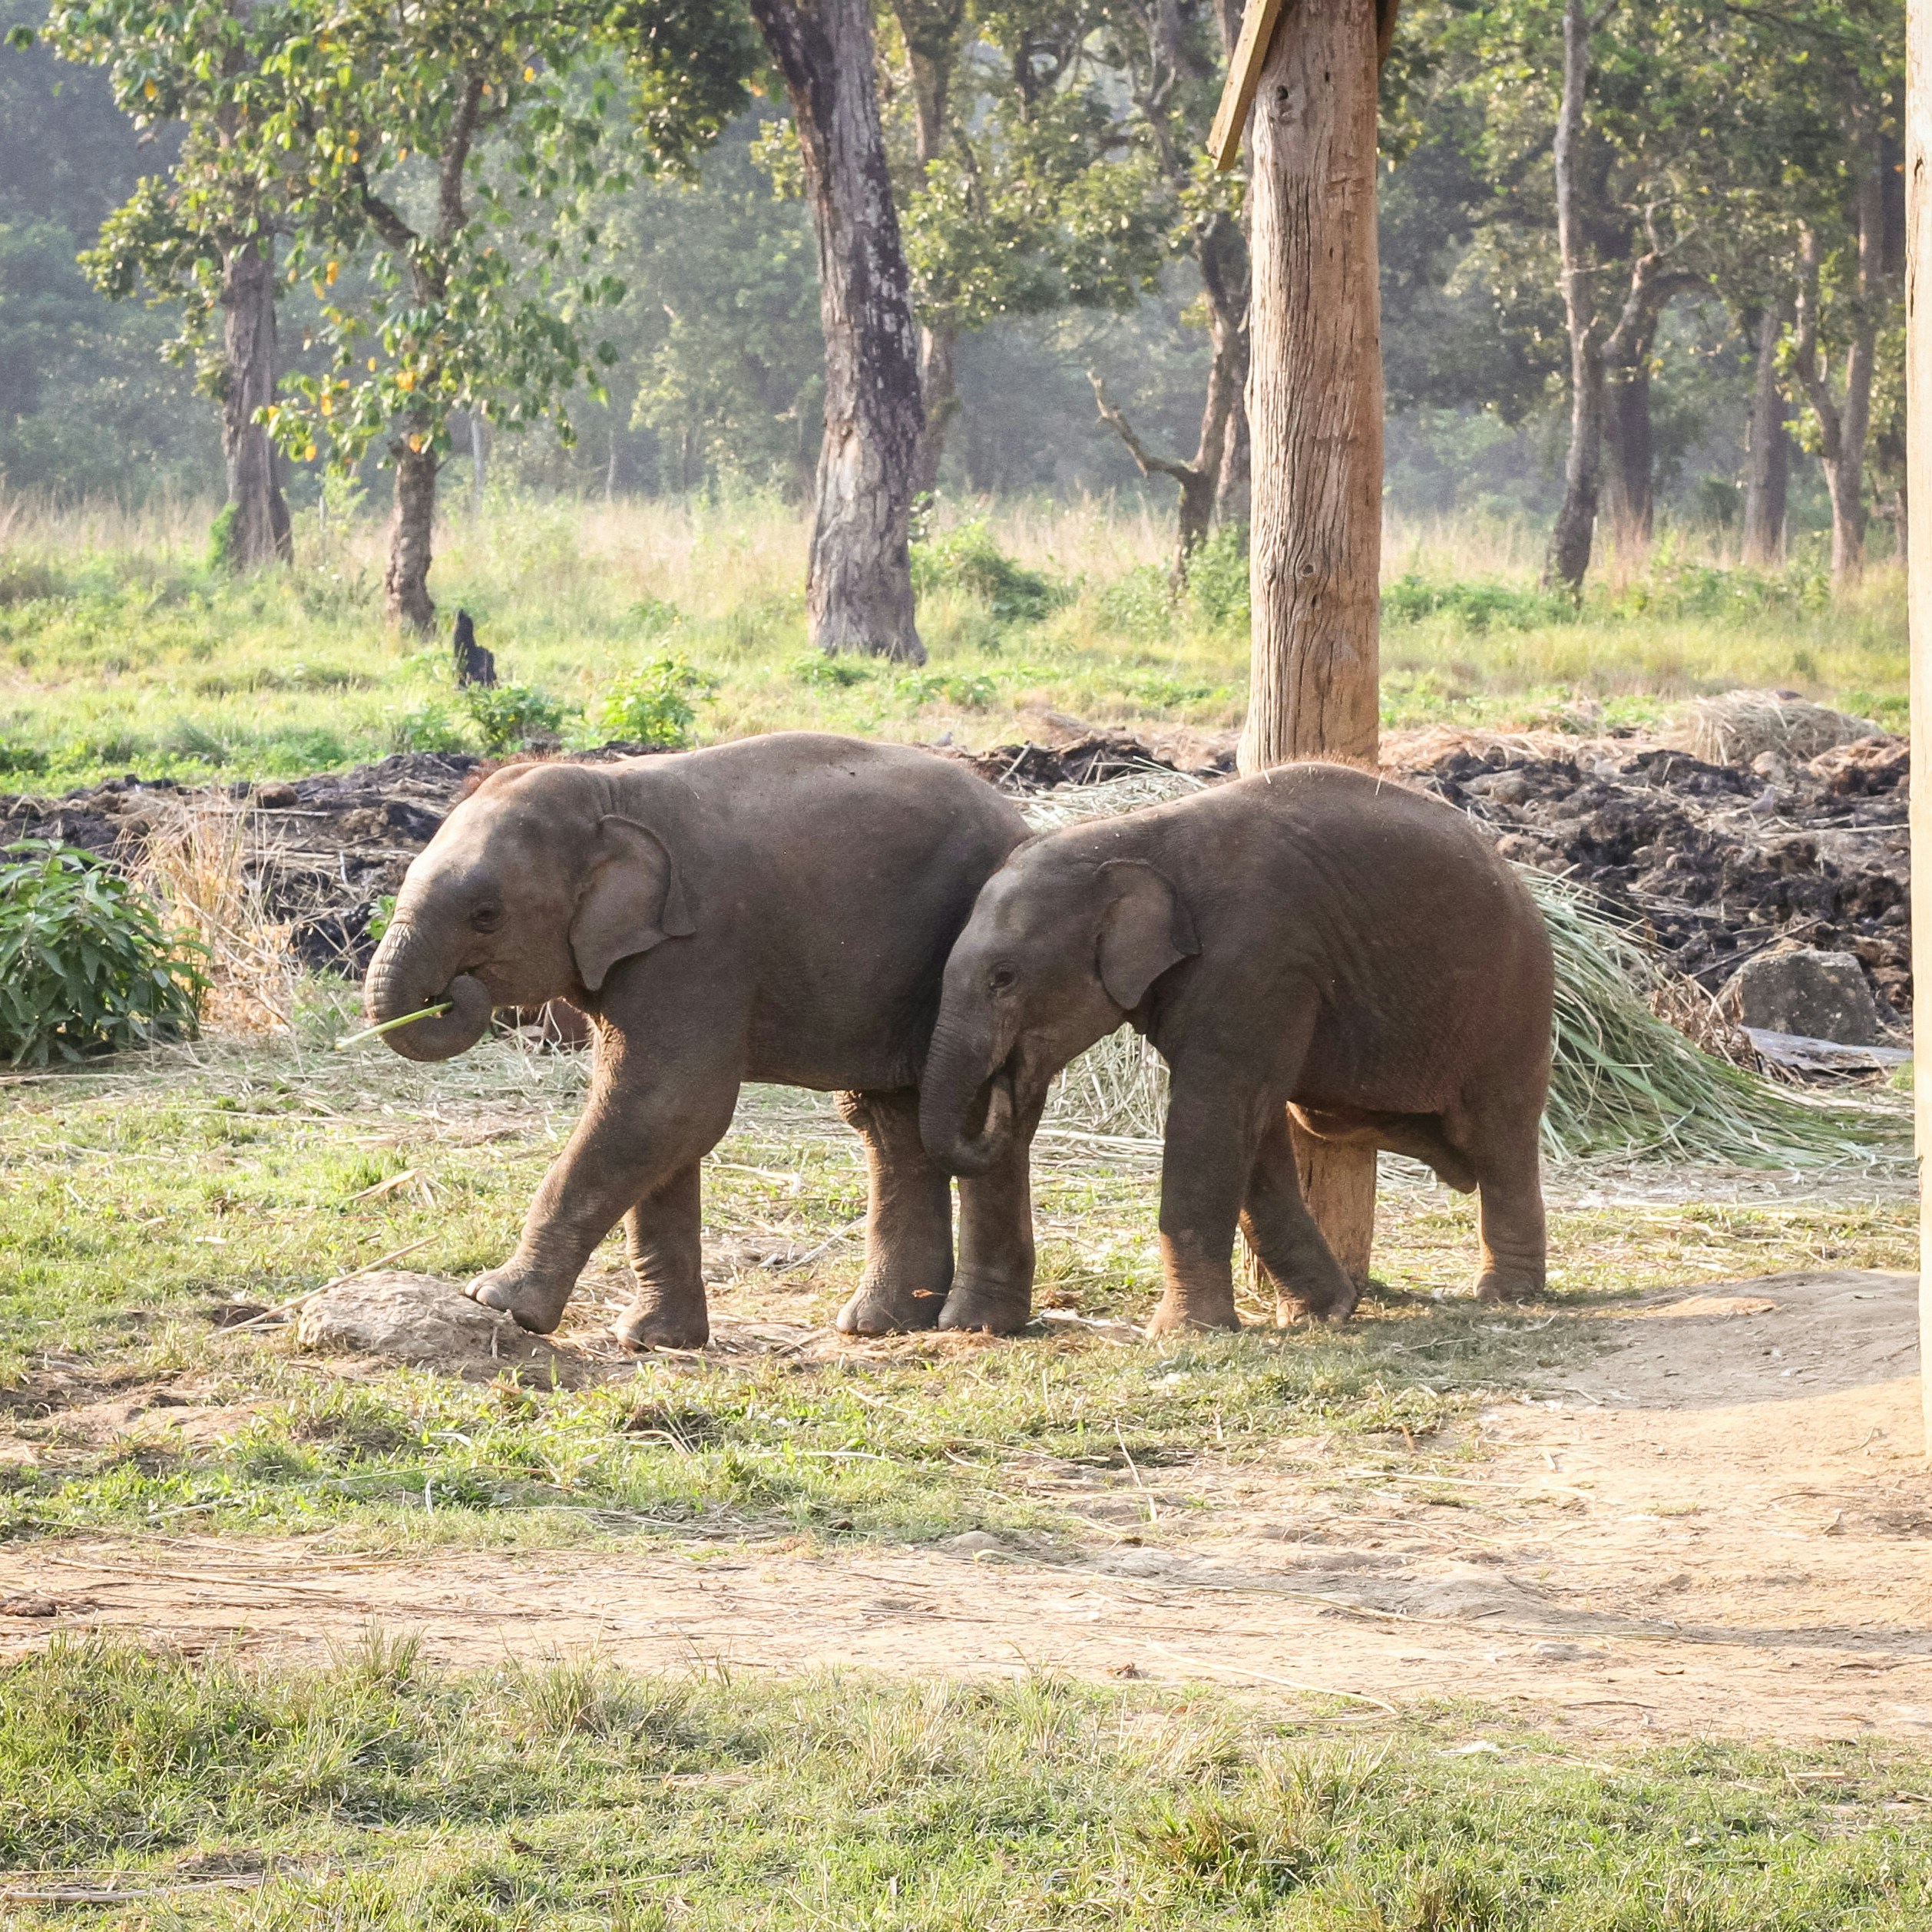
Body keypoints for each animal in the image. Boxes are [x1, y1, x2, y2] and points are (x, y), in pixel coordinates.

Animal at [362, 732, 1037, 1347]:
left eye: (486, 915)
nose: (455, 990)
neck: (607, 790)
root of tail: (1017, 818)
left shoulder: (697, 947)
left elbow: (666, 1107)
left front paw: (498, 1303)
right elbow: (664, 1124)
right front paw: (653, 1339)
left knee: (965, 1111)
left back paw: (972, 1324)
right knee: (891, 1122)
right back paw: (882, 1324)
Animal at [920, 761, 1554, 1333]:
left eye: (1003, 978)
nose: (1006, 1081)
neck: (1127, 838)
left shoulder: (1256, 959)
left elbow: (1212, 1116)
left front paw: (1183, 1333)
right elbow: (1253, 1128)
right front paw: (1323, 1313)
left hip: (1511, 1006)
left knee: (1498, 1133)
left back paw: (1507, 1294)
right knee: (1330, 1116)